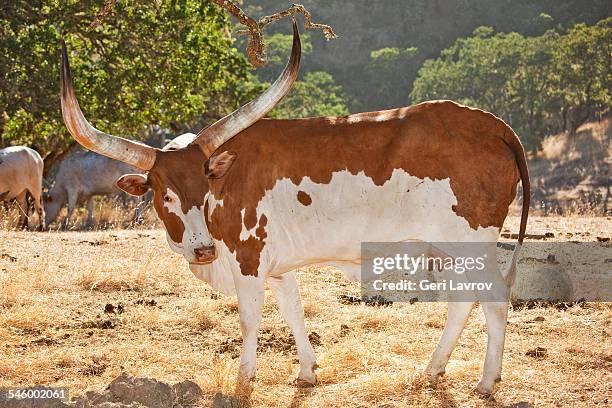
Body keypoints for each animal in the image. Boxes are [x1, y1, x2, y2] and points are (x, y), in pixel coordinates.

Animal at [61, 21, 532, 396]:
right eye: (165, 194)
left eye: (206, 185)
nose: (203, 249)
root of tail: (491, 124)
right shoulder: (277, 265)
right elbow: (293, 310)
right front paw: (307, 371)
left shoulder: (248, 257)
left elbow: (250, 319)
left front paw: (245, 378)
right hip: (449, 252)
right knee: (463, 301)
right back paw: (433, 370)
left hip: (471, 246)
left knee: (493, 300)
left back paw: (486, 382)